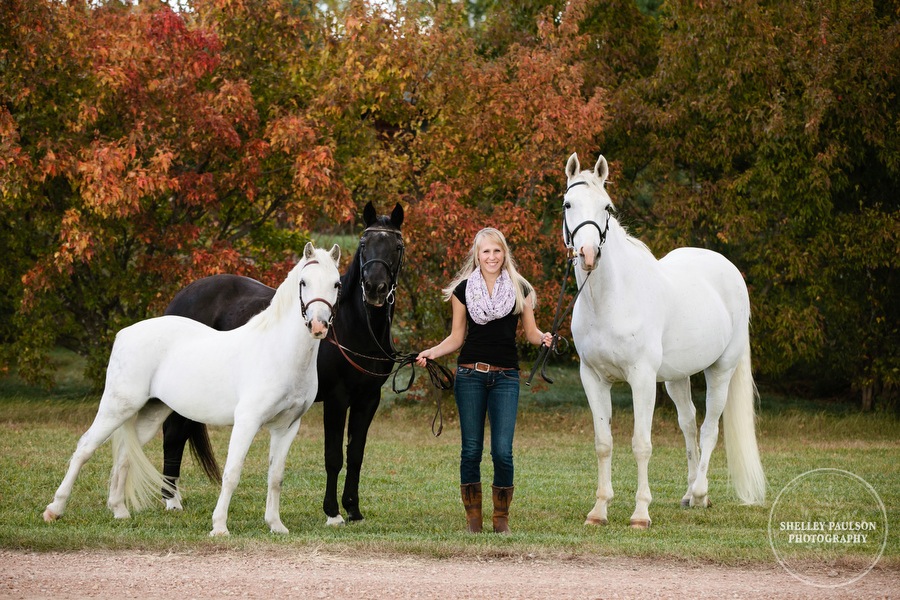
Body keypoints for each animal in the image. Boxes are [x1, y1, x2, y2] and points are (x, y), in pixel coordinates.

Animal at [44, 241, 342, 536]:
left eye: (336, 284)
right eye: (303, 282)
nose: (317, 325)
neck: (277, 351)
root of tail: (124, 334)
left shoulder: (286, 427)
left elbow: (276, 476)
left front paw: (276, 525)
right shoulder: (247, 421)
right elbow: (232, 473)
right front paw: (219, 526)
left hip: (151, 412)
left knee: (125, 455)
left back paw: (119, 511)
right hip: (117, 407)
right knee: (85, 448)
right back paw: (54, 510)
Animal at [162, 202, 404, 524]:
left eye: (397, 246)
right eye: (364, 244)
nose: (375, 287)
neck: (353, 328)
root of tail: (181, 297)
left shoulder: (368, 399)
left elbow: (356, 455)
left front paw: (353, 509)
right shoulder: (337, 399)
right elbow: (333, 456)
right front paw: (333, 513)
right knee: (173, 434)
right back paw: (171, 501)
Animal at [564, 152, 768, 528]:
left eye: (607, 207)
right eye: (568, 204)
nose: (588, 254)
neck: (611, 299)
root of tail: (728, 268)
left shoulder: (642, 379)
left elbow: (641, 444)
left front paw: (640, 513)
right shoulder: (593, 379)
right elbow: (604, 443)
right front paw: (599, 510)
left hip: (721, 371)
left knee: (709, 428)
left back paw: (700, 494)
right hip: (676, 378)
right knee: (688, 425)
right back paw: (689, 493)